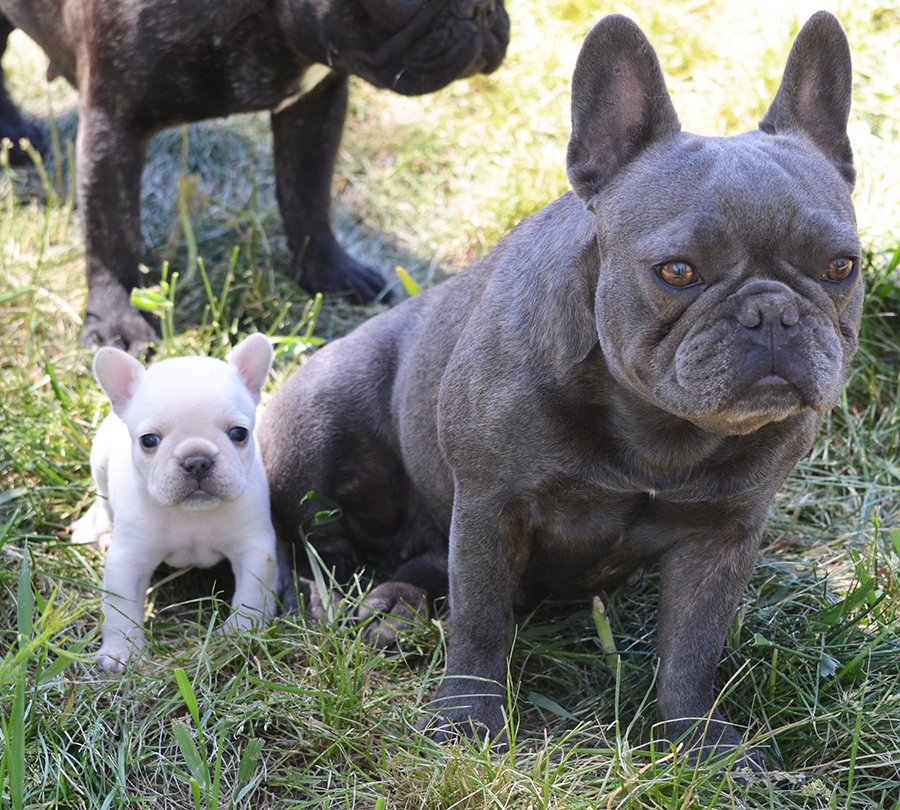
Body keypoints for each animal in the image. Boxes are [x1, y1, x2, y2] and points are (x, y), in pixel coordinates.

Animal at [0, 0, 506, 346]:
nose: (481, 10)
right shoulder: (112, 123)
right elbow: (112, 235)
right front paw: (117, 318)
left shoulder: (318, 101)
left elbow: (308, 195)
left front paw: (330, 273)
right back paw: (15, 136)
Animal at [74, 332, 278, 672]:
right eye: (149, 440)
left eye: (239, 433)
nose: (197, 460)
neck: (191, 516)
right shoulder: (129, 558)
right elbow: (119, 604)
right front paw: (122, 650)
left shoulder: (254, 550)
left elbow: (251, 594)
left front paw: (241, 634)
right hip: (99, 460)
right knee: (102, 498)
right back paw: (95, 527)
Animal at [256, 12, 860, 768]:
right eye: (678, 272)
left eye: (841, 267)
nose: (772, 313)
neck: (658, 428)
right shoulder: (491, 506)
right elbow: (481, 624)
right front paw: (468, 722)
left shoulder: (722, 537)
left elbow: (693, 651)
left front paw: (698, 744)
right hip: (315, 424)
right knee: (303, 537)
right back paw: (321, 600)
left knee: (422, 564)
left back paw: (395, 606)